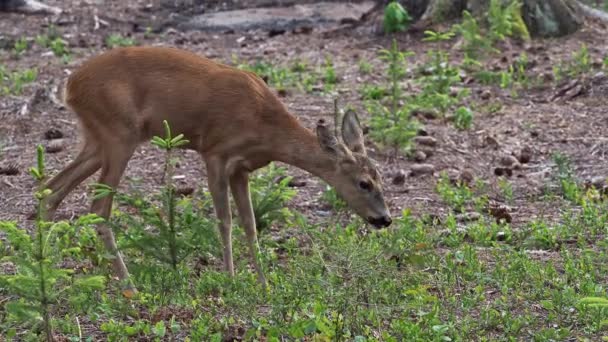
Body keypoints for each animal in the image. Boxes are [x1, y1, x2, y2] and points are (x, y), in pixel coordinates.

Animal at [44, 46, 394, 296]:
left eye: (382, 179)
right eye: (364, 183)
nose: (385, 219)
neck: (264, 126)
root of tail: (70, 86)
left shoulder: (242, 168)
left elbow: (250, 224)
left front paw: (264, 282)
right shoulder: (214, 152)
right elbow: (224, 221)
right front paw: (231, 278)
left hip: (97, 140)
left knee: (51, 188)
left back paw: (45, 269)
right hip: (119, 135)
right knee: (97, 208)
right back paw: (129, 287)